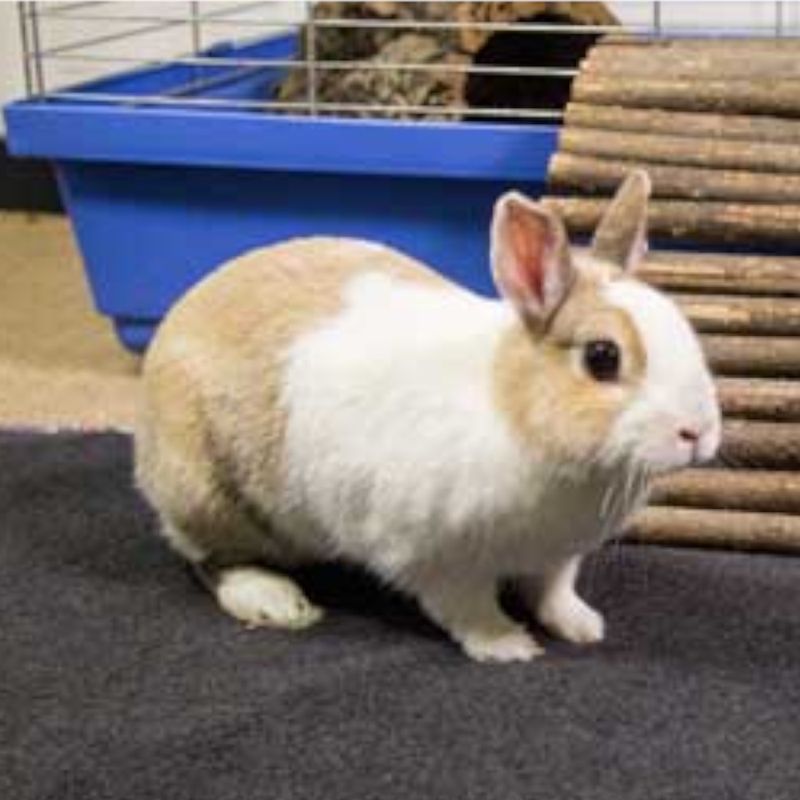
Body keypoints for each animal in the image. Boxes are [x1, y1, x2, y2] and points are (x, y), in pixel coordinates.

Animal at [135, 171, 721, 663]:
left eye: (683, 326)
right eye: (602, 357)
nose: (698, 432)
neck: (514, 410)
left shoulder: (556, 557)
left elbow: (552, 591)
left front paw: (582, 626)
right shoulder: (432, 558)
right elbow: (467, 607)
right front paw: (508, 646)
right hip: (207, 495)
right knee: (209, 558)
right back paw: (275, 601)